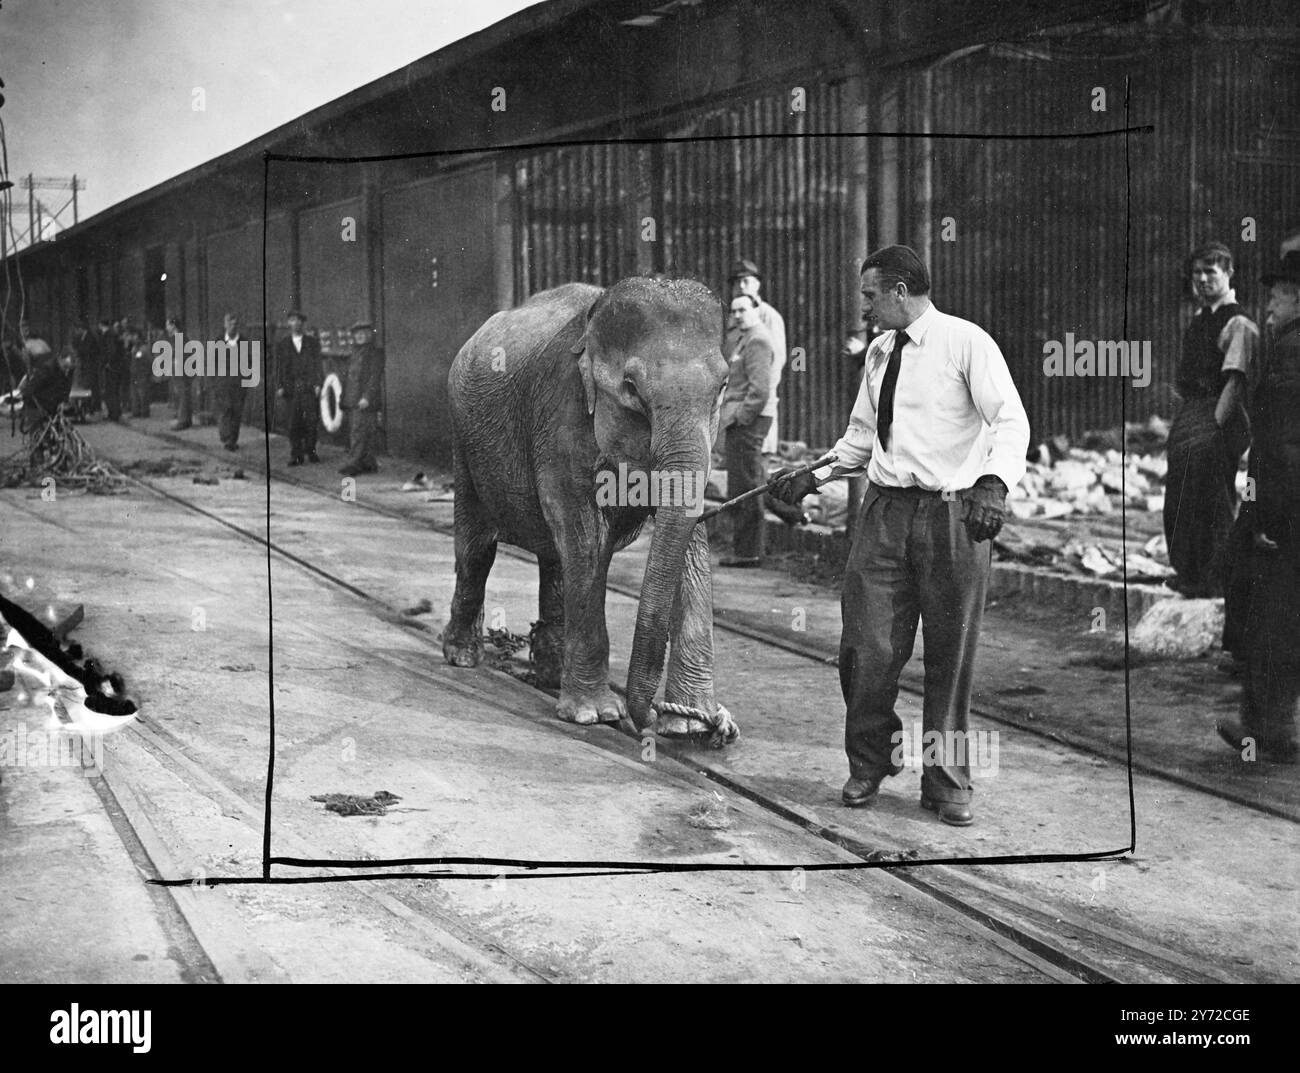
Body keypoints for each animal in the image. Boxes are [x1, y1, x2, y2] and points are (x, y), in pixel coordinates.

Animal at [441, 275, 738, 738]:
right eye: (631, 388)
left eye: (722, 387)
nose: (649, 717)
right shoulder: (560, 418)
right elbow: (584, 536)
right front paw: (595, 716)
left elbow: (688, 534)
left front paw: (691, 726)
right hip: (463, 444)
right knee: (478, 551)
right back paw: (462, 656)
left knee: (554, 560)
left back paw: (547, 675)